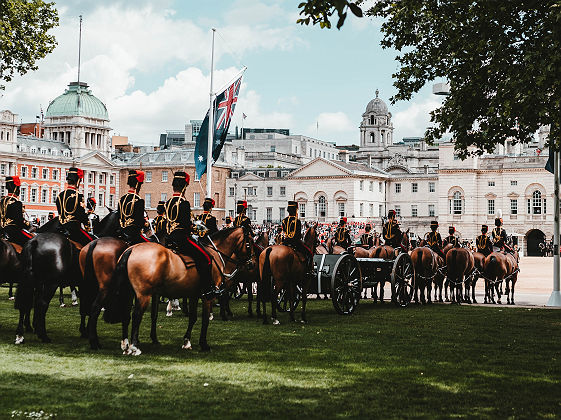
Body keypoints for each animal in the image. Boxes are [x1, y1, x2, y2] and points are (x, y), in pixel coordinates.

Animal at [103, 226, 254, 354]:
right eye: (249, 243)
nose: (252, 263)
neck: (215, 254)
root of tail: (132, 249)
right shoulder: (208, 296)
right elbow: (205, 319)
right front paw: (204, 344)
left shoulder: (194, 295)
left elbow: (193, 317)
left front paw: (187, 341)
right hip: (143, 295)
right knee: (136, 315)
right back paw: (134, 346)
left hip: (129, 293)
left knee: (126, 314)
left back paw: (126, 345)